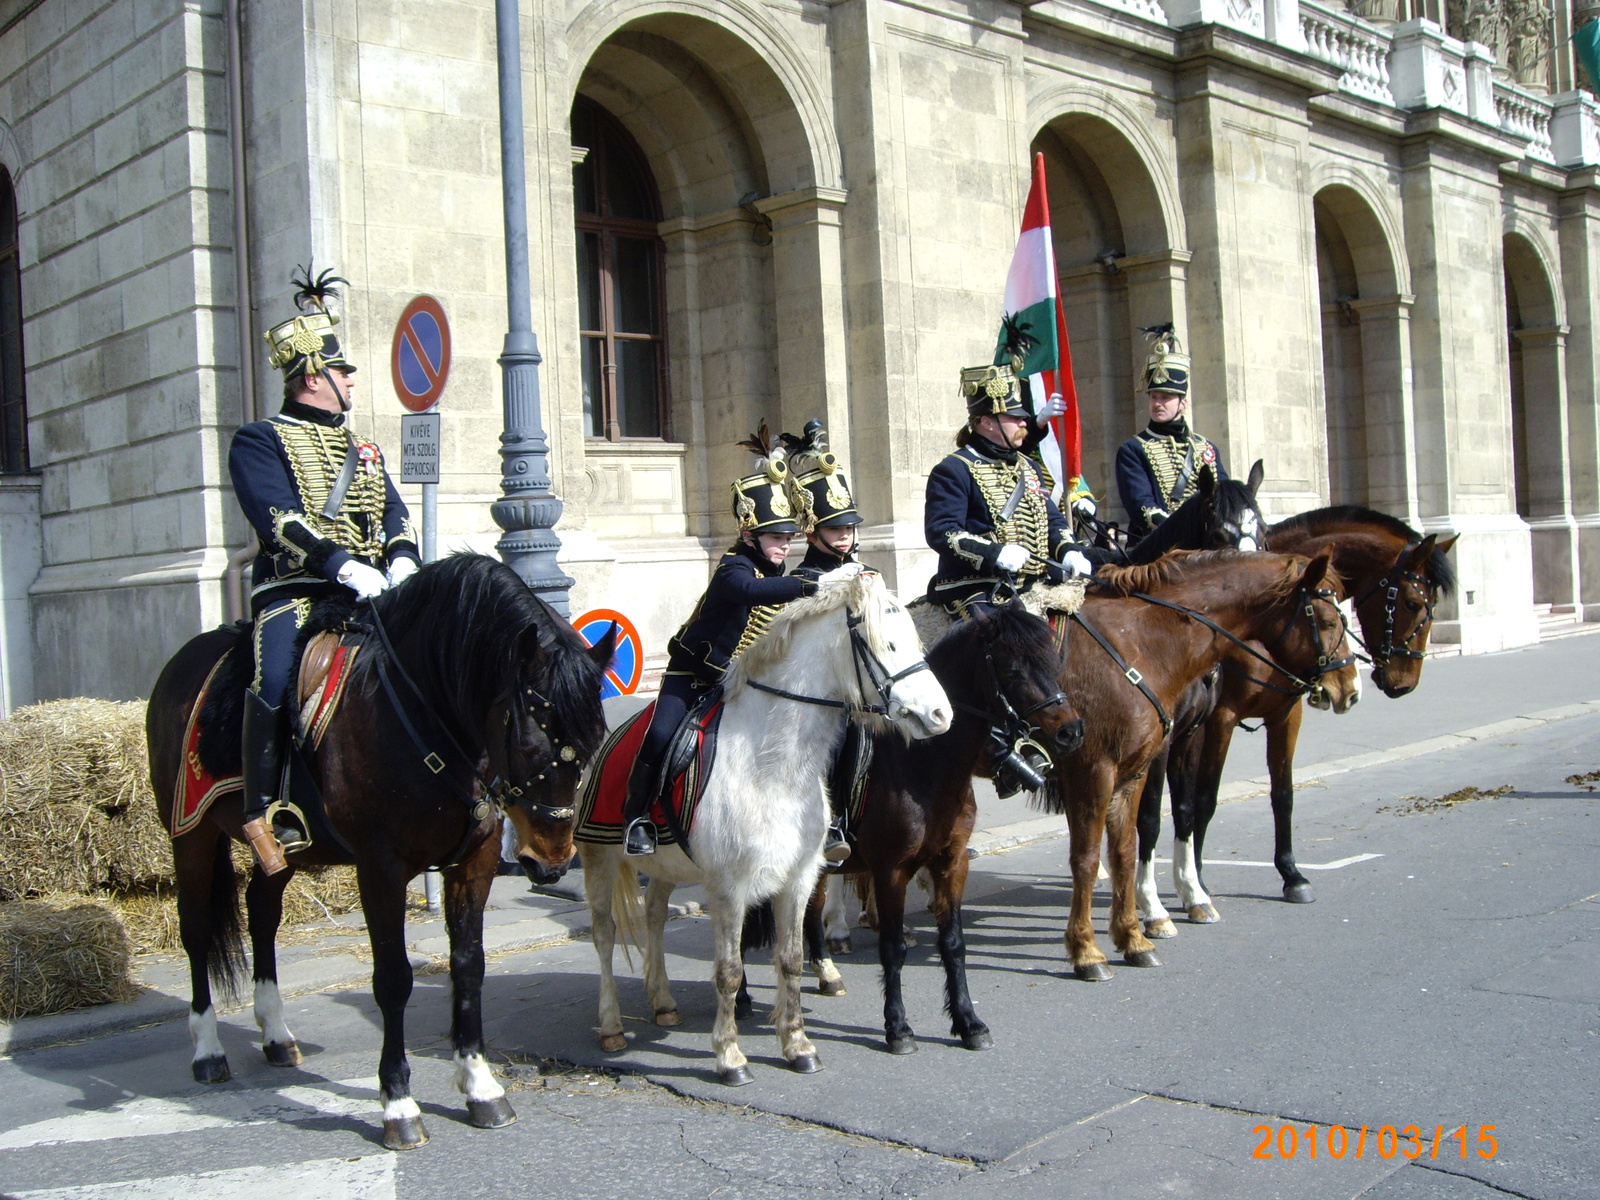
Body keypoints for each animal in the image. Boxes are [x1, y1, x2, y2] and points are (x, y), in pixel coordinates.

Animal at [145, 560, 611, 1152]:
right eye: (531, 745)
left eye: (592, 743)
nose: (550, 862)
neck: (425, 714)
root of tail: (182, 661)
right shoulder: (381, 869)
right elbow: (393, 979)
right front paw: (398, 1103)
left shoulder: (474, 863)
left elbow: (469, 966)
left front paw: (480, 1085)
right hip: (190, 834)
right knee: (197, 930)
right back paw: (207, 1049)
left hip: (282, 854)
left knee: (262, 914)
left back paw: (275, 1034)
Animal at [579, 569, 940, 1088]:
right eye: (887, 644)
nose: (941, 715)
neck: (772, 763)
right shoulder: (730, 887)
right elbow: (729, 971)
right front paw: (730, 1056)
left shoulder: (798, 877)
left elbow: (790, 959)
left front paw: (798, 1046)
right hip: (598, 855)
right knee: (605, 933)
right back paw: (611, 1027)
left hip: (667, 867)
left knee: (653, 917)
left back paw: (663, 1002)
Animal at [736, 601, 1088, 1049]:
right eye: (1012, 671)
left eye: (1052, 663)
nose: (1071, 731)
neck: (924, 766)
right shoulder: (891, 870)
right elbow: (892, 948)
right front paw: (898, 1027)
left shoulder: (952, 863)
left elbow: (953, 943)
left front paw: (969, 1022)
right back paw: (742, 997)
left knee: (810, 910)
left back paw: (826, 974)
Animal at [1036, 550, 1363, 979]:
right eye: (1327, 621)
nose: (1351, 690)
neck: (1135, 643)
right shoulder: (1097, 769)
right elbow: (1099, 852)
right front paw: (1097, 944)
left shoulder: (1146, 761)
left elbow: (1137, 841)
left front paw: (1142, 929)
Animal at [1132, 508, 1459, 928]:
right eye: (1413, 604)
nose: (1405, 683)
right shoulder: (1219, 720)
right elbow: (1204, 798)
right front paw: (1197, 880)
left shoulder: (1286, 715)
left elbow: (1282, 793)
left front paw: (1291, 874)